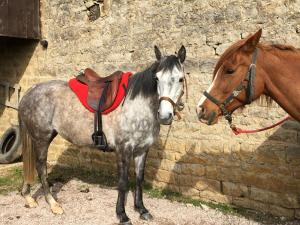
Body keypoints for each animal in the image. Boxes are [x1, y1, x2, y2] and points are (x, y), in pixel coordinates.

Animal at [18, 45, 185, 225]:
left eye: (181, 79)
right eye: (156, 78)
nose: (165, 115)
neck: (138, 105)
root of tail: (31, 90)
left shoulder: (142, 150)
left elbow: (139, 178)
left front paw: (142, 210)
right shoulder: (124, 149)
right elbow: (123, 182)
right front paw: (122, 214)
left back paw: (28, 197)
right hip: (42, 138)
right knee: (41, 167)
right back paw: (53, 204)